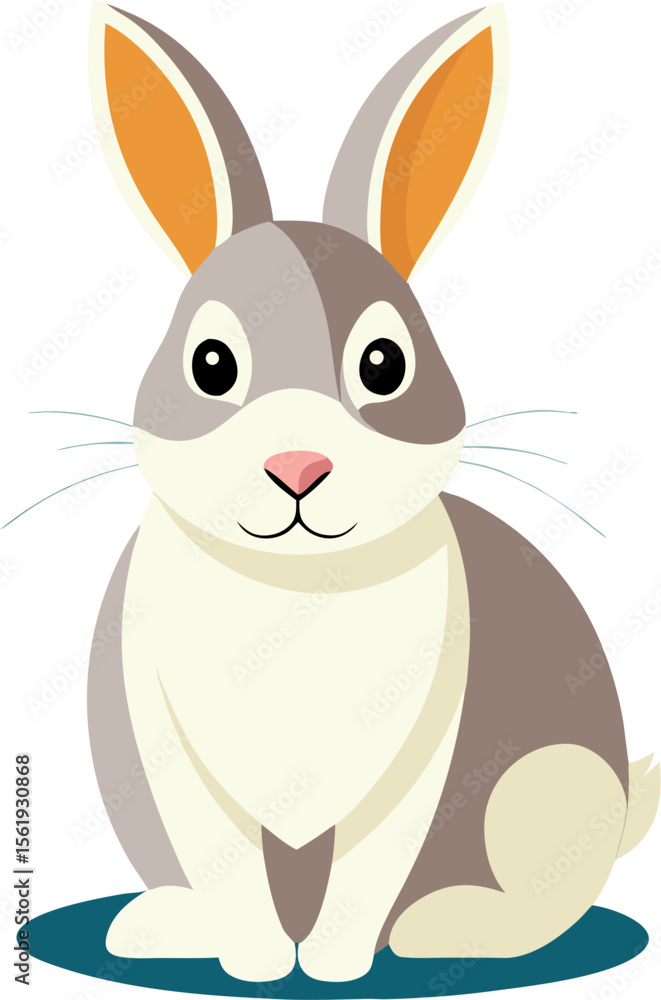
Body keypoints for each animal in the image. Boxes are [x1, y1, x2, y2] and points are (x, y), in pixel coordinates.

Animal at [85, 1, 658, 984]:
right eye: (210, 365)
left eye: (385, 365)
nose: (298, 467)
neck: (292, 590)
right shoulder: (172, 762)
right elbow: (229, 869)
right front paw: (255, 970)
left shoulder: (413, 769)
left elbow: (365, 874)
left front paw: (335, 972)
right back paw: (160, 928)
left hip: (547, 785)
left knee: (544, 902)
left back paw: (447, 927)